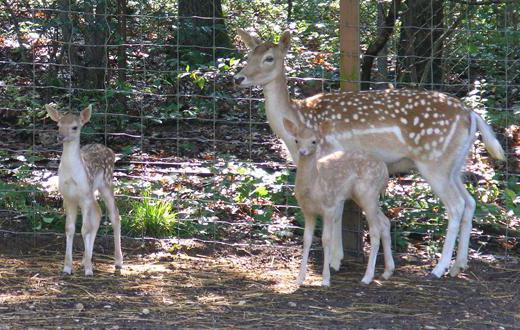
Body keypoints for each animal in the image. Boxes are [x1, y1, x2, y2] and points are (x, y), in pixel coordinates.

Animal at [45, 104, 123, 274]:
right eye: (58, 125)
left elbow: (85, 229)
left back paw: (118, 262)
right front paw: (67, 268)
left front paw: (88, 270)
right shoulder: (69, 198)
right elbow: (70, 229)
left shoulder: (84, 197)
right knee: (99, 212)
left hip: (106, 183)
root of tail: (110, 151)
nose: (60, 137)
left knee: (114, 215)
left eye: (75, 127)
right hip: (91, 191)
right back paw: (84, 260)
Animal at [284, 116, 394, 286]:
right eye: (296, 140)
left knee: (375, 230)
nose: (302, 152)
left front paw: (326, 279)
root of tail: (386, 173)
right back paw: (388, 272)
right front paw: (300, 278)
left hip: (368, 193)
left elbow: (326, 239)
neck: (315, 184)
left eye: (314, 141)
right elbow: (307, 239)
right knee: (385, 222)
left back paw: (367, 277)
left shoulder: (329, 207)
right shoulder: (307, 211)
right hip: (364, 196)